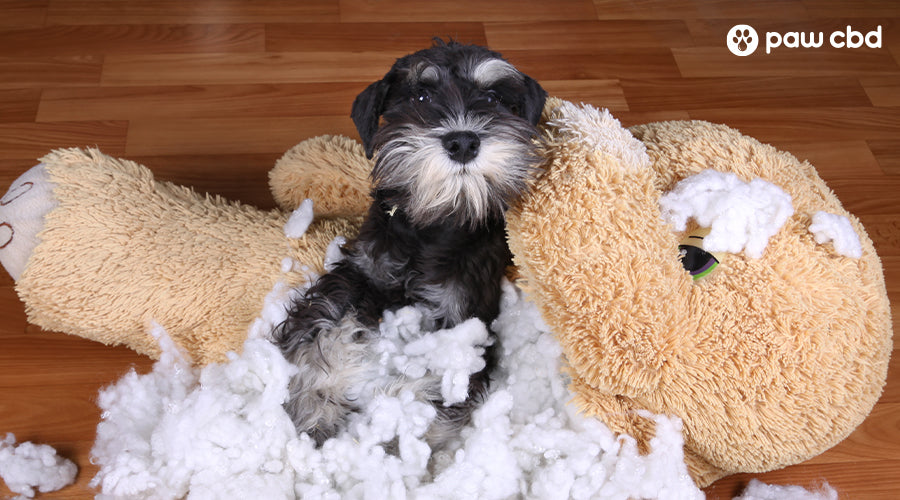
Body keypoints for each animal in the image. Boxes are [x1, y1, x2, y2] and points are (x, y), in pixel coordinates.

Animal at [274, 41, 544, 450]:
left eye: (493, 98)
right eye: (420, 96)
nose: (462, 142)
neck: (436, 223)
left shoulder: (465, 321)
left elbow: (435, 386)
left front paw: (397, 439)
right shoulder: (358, 274)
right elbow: (320, 326)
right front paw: (312, 407)